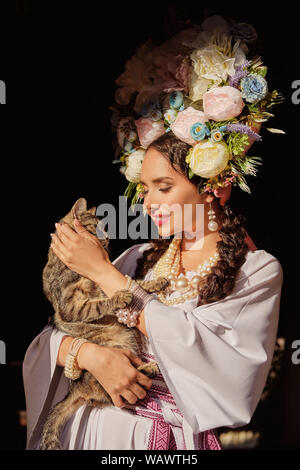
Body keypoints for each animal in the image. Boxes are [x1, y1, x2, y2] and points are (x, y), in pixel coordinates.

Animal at [39, 196, 169, 450]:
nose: (108, 239)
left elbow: (134, 283)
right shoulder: (71, 307)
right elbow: (98, 304)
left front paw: (154, 283)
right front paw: (119, 298)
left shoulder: (102, 284)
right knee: (113, 394)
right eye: (96, 228)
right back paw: (149, 368)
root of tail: (76, 389)